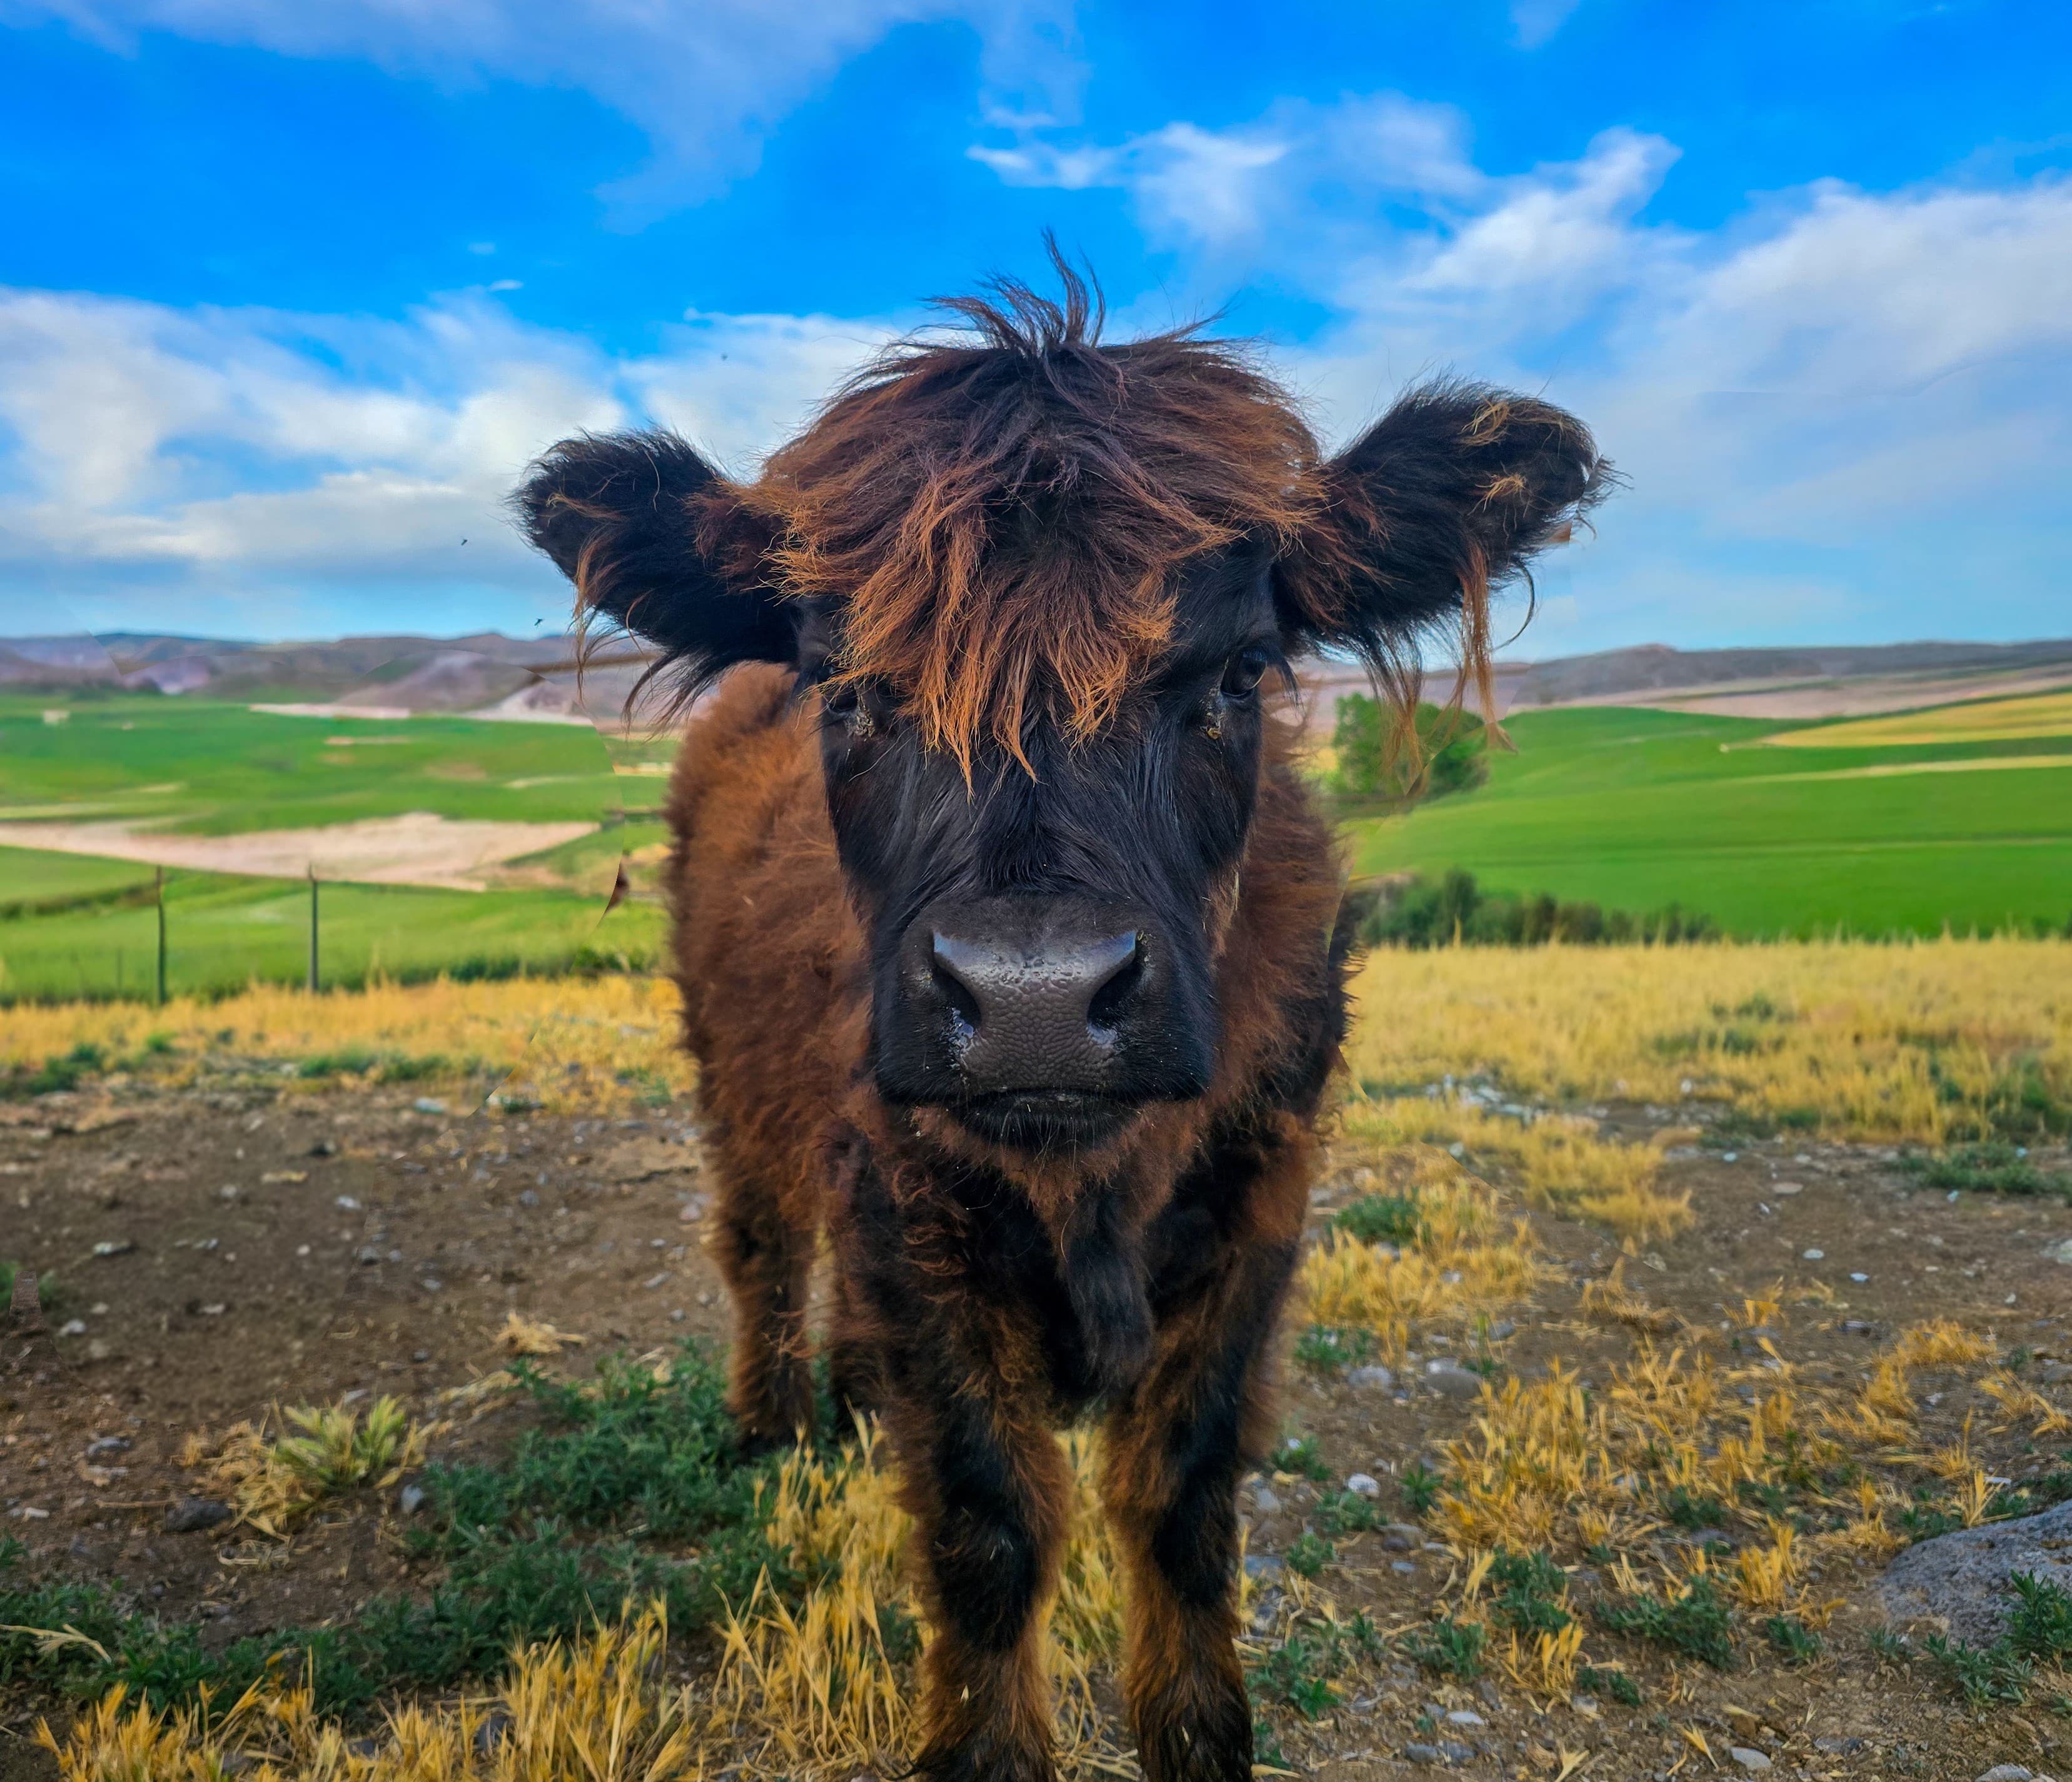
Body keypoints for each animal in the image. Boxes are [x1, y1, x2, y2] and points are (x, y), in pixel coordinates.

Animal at [515, 259, 1607, 1782]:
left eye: (1238, 673)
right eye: (849, 690)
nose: (1034, 1002)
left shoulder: (1258, 1204)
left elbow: (1182, 1499)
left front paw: (1200, 1735)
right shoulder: (917, 1219)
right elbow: (991, 1522)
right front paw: (988, 1749)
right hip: (736, 1083)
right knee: (761, 1242)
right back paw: (772, 1427)